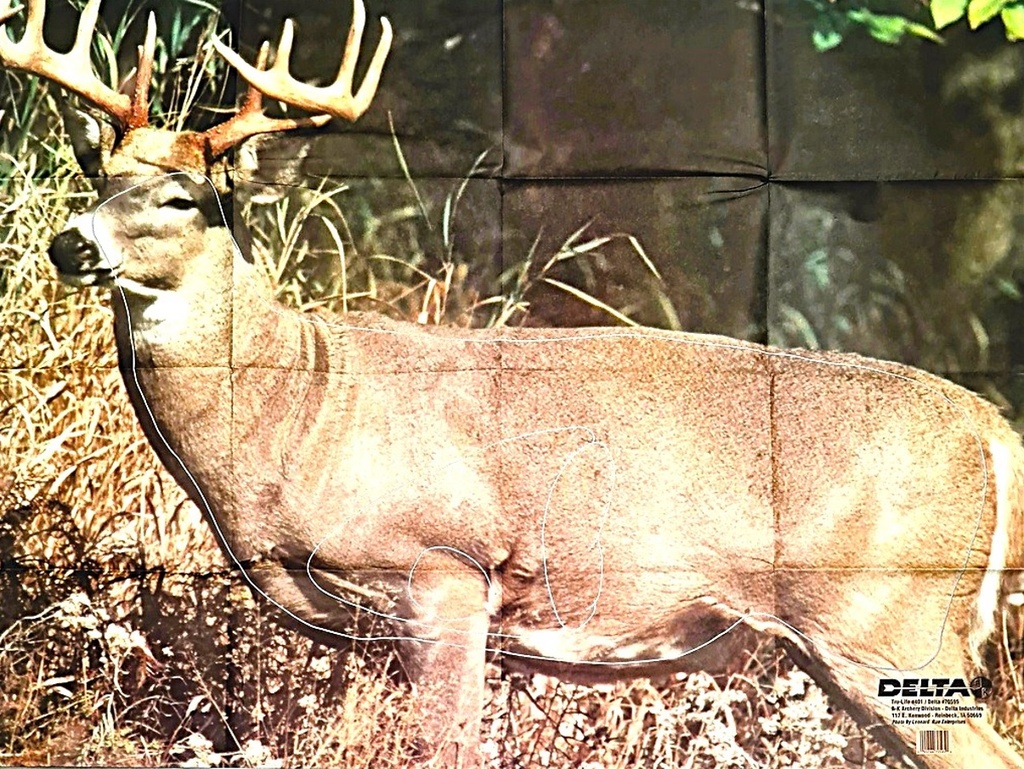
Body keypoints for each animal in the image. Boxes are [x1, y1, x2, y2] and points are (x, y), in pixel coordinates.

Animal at [4, 0, 1024, 766]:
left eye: (186, 198)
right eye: (99, 175)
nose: (69, 242)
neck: (298, 410)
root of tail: (991, 427)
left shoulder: (445, 564)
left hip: (889, 615)